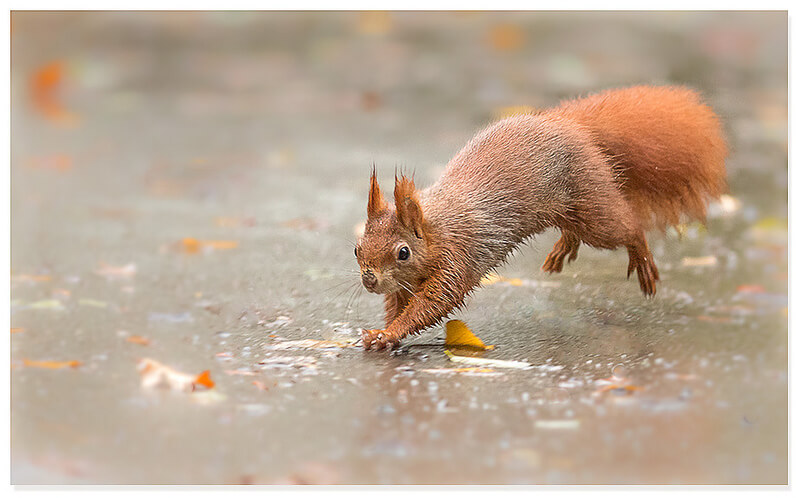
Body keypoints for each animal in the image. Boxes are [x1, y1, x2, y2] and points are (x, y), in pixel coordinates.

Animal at [354, 85, 728, 350]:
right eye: (357, 248)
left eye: (403, 253)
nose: (369, 279)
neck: (436, 229)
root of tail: (573, 125)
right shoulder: (408, 281)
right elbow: (399, 302)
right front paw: (384, 330)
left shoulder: (458, 258)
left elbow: (435, 302)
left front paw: (389, 333)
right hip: (574, 208)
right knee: (576, 227)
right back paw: (564, 247)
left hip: (592, 207)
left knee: (629, 228)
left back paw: (643, 259)